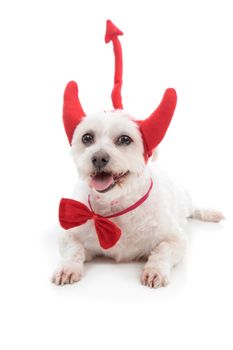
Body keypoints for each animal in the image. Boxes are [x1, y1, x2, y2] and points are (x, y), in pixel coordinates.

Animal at [52, 108, 224, 288]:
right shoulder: (70, 234)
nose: (98, 157)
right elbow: (73, 250)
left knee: (193, 209)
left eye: (125, 139)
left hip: (185, 200)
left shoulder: (176, 239)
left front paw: (154, 271)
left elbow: (163, 250)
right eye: (87, 138)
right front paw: (68, 268)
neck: (116, 204)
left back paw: (209, 213)